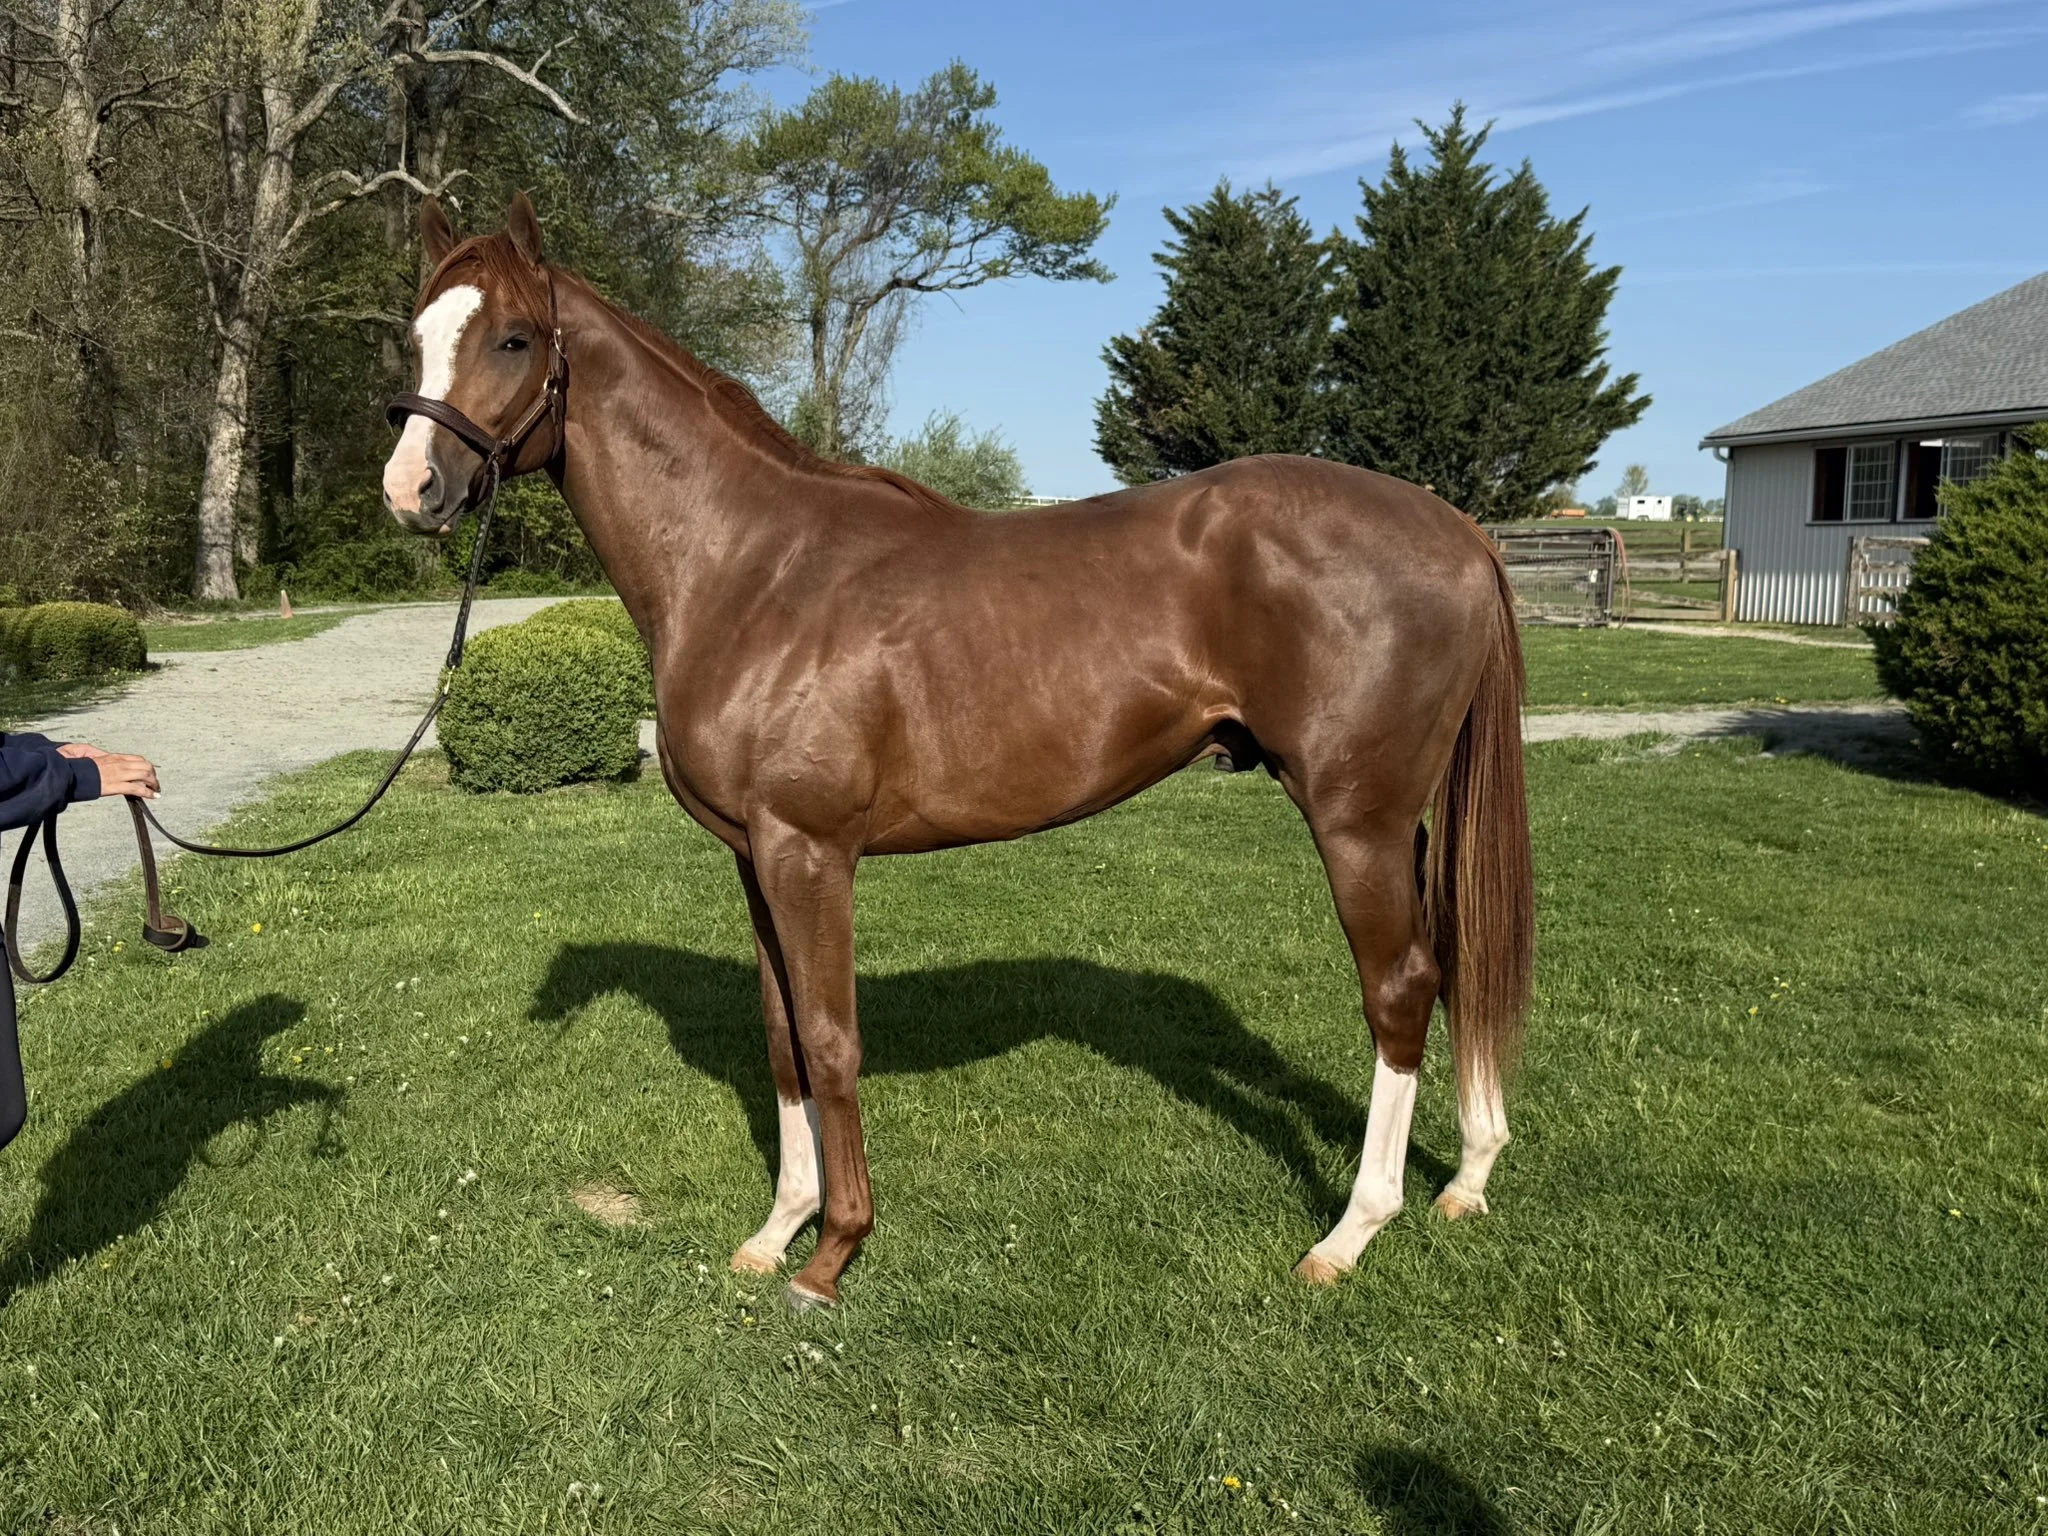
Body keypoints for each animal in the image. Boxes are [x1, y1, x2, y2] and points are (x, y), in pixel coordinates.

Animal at [382, 193, 1534, 1309]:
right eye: (417, 337)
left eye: (514, 338)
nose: (410, 489)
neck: (749, 565)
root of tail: (1459, 530)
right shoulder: (754, 855)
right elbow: (782, 1037)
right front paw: (776, 1230)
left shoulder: (809, 852)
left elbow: (832, 1039)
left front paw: (831, 1255)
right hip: (1399, 825)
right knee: (1451, 962)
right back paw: (1468, 1177)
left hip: (1355, 820)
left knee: (1398, 987)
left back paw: (1349, 1234)